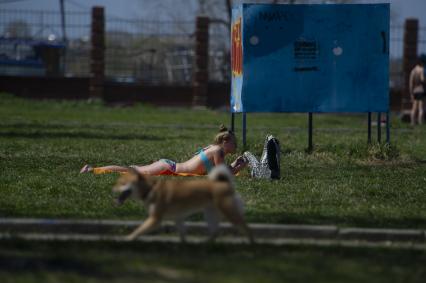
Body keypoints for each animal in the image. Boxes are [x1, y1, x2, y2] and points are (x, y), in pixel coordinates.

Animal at [112, 166, 253, 244]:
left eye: (122, 183)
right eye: (118, 182)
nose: (112, 189)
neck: (150, 189)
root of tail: (225, 183)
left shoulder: (155, 219)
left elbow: (138, 230)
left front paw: (127, 239)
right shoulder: (178, 218)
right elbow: (182, 233)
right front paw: (184, 244)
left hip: (228, 211)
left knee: (244, 226)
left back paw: (252, 242)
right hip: (210, 213)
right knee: (215, 232)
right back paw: (206, 243)